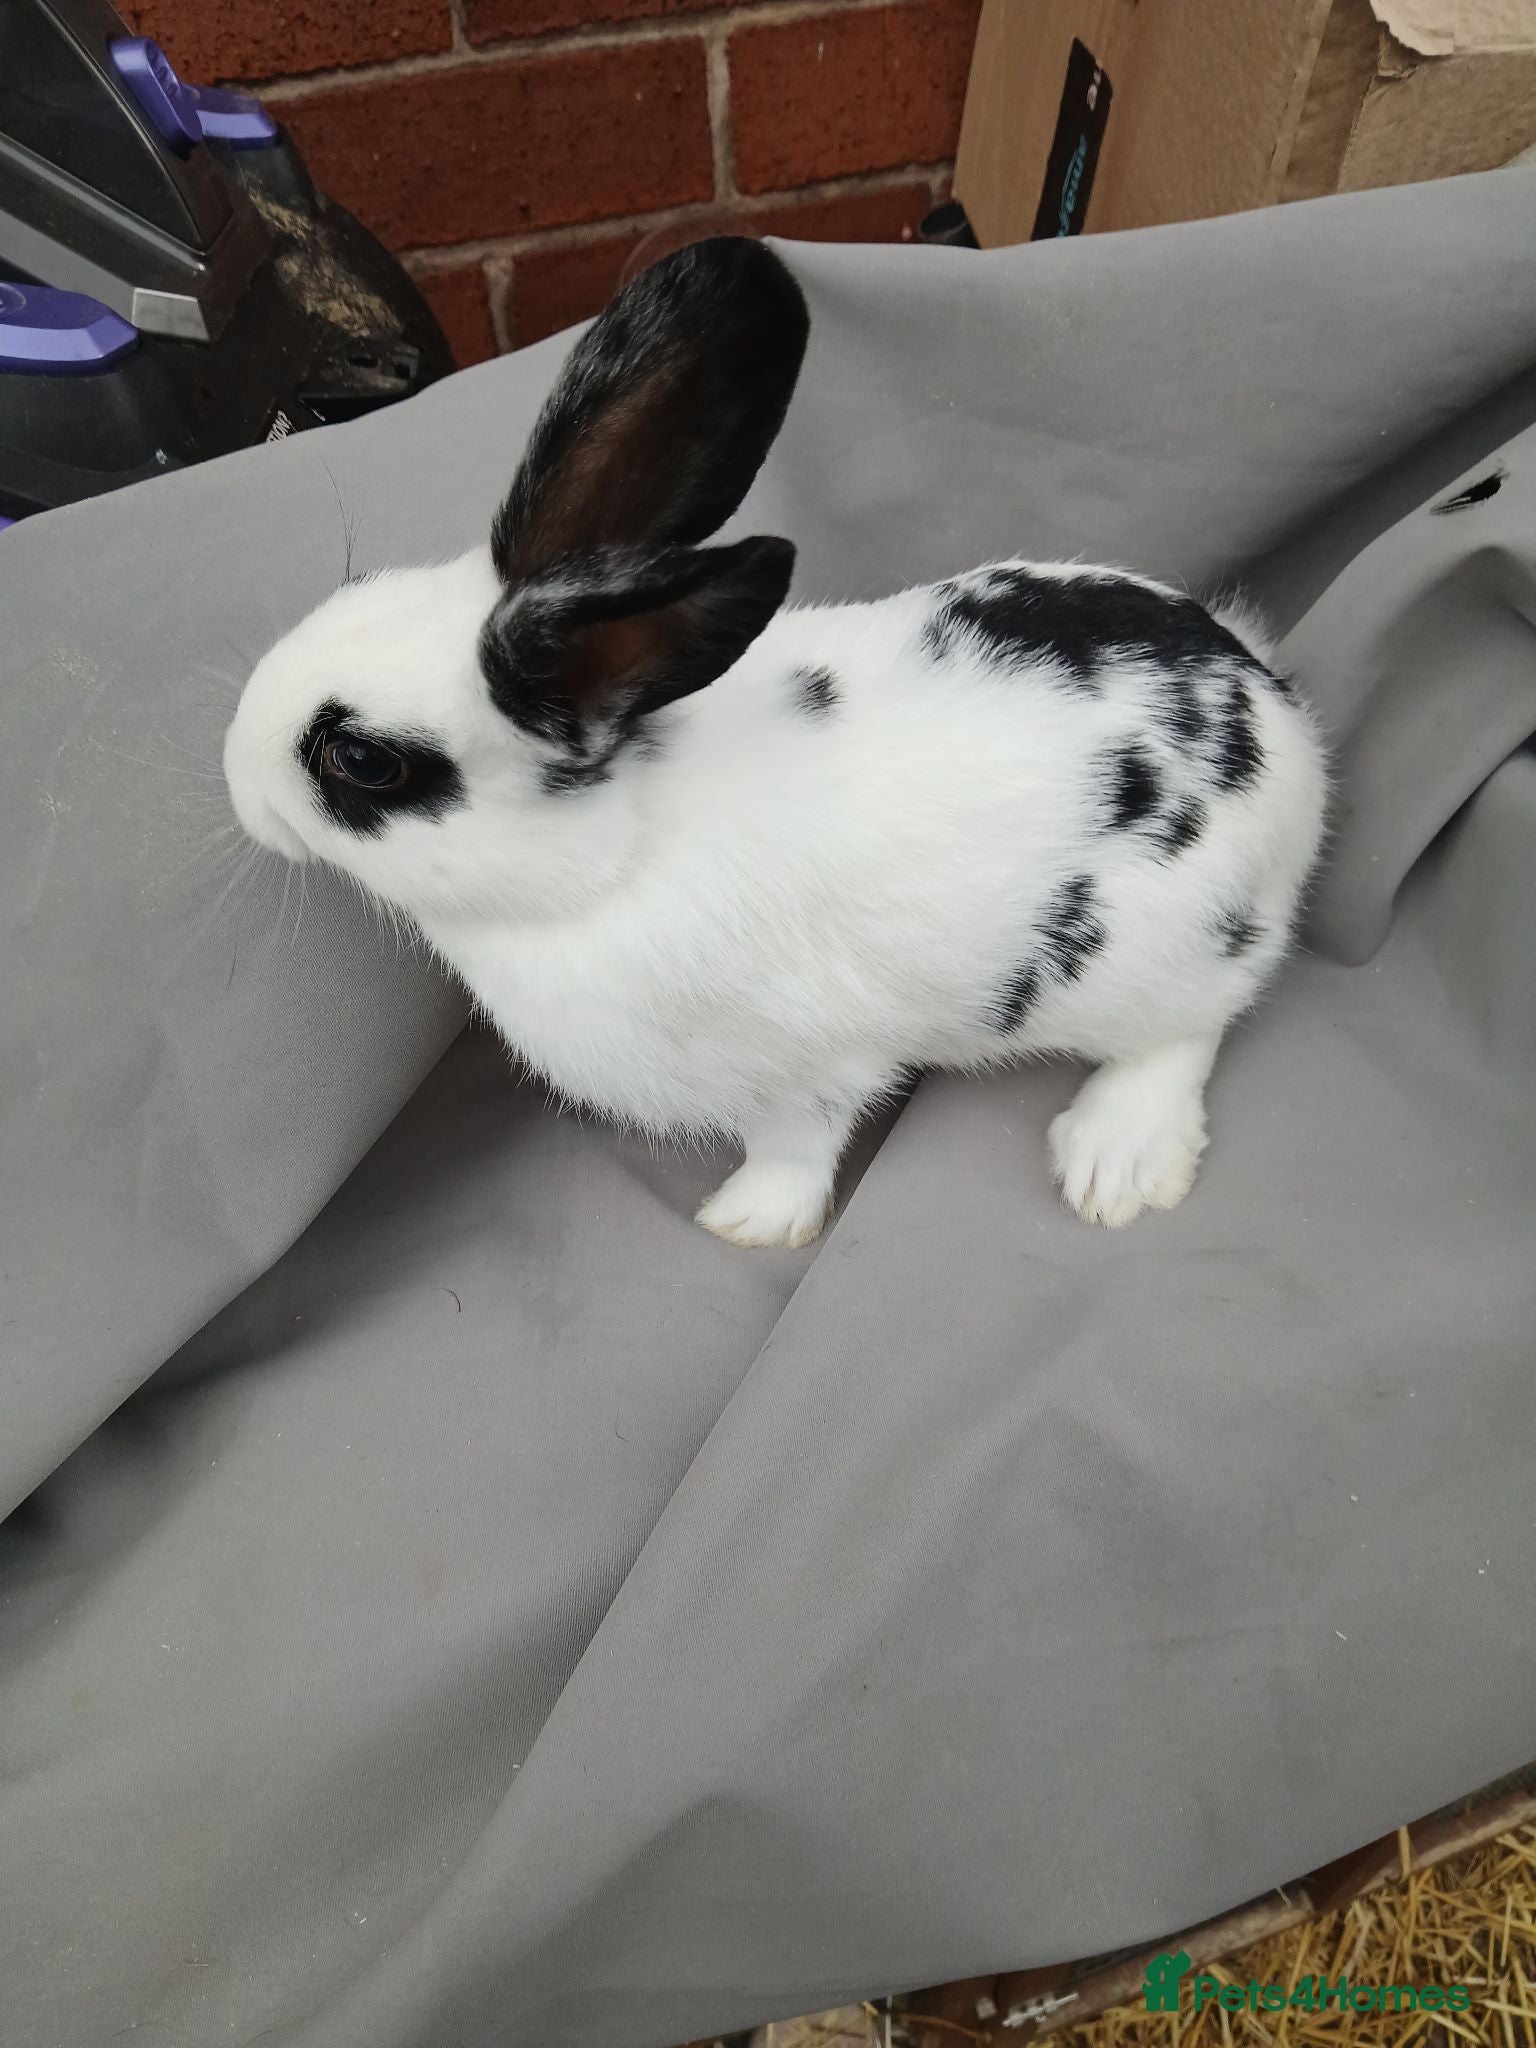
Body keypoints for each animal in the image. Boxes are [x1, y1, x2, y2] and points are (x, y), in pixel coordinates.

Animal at [224, 236, 1327, 1249]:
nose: (234, 774)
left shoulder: (809, 1068)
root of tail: (1273, 708)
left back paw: (1117, 1163)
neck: (616, 853)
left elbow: (798, 1147)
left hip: (1164, 955)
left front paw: (747, 1222)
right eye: (356, 588)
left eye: (364, 762)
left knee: (1192, 1027)